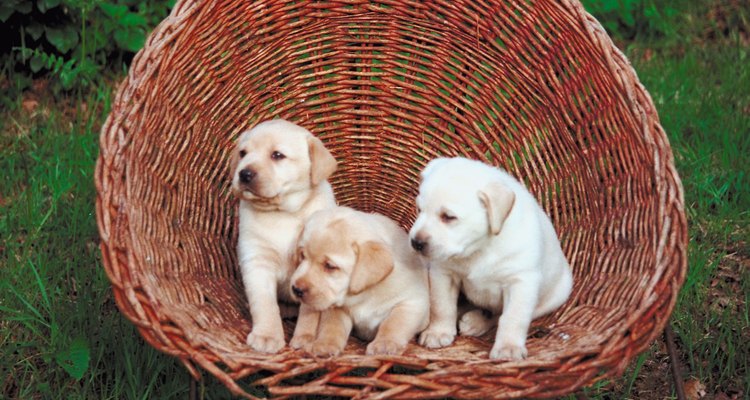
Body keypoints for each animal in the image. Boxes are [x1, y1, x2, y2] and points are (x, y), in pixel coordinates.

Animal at [232, 118, 338, 354]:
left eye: (277, 155)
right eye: (243, 153)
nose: (244, 173)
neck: (282, 213)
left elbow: (309, 311)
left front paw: (305, 337)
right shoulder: (257, 262)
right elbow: (264, 303)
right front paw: (267, 335)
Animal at [288, 206, 428, 356]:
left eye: (330, 266)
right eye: (302, 256)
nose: (296, 289)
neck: (364, 294)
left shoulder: (411, 302)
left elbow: (394, 323)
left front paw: (384, 344)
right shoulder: (336, 308)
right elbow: (332, 326)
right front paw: (325, 344)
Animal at [408, 156, 572, 360]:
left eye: (449, 217)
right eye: (419, 209)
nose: (416, 242)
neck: (479, 248)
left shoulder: (521, 282)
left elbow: (512, 317)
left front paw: (508, 348)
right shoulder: (444, 273)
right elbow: (441, 305)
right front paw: (437, 332)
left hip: (557, 295)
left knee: (498, 315)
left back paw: (475, 322)